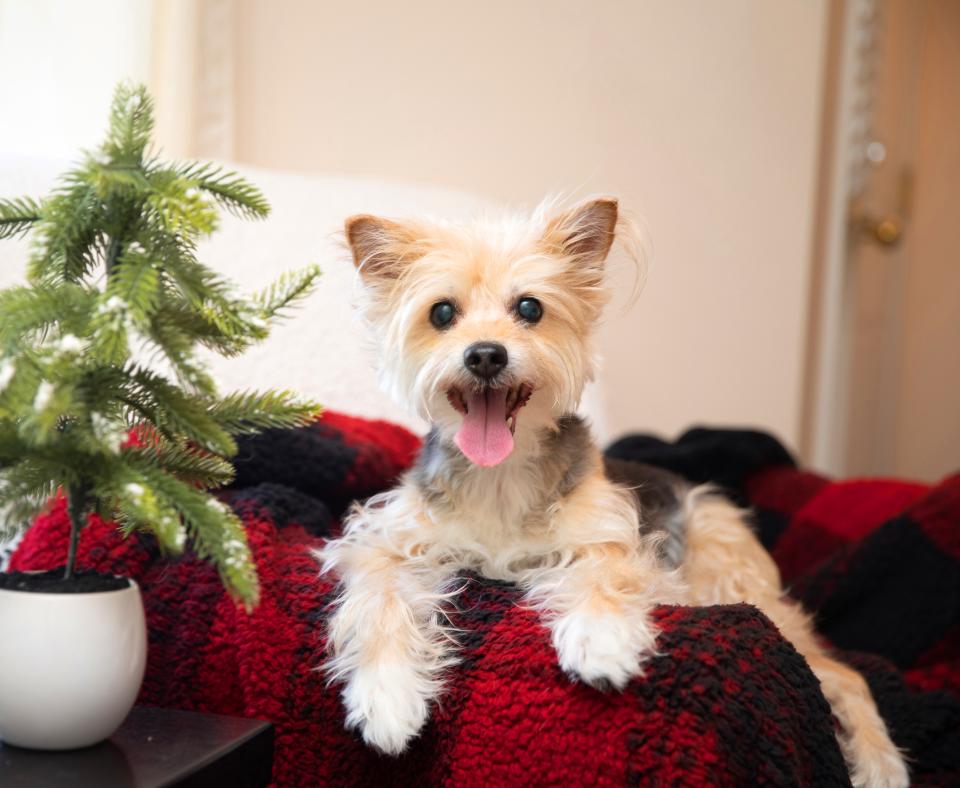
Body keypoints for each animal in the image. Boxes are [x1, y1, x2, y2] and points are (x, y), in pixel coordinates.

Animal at [320, 199, 908, 788]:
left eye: (529, 308)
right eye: (442, 313)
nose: (485, 355)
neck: (500, 474)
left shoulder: (613, 537)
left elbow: (602, 572)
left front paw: (601, 643)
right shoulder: (382, 542)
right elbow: (379, 600)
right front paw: (387, 697)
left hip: (734, 581)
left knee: (843, 674)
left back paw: (881, 765)